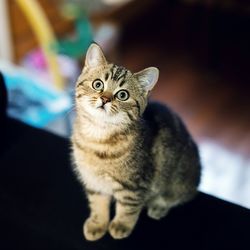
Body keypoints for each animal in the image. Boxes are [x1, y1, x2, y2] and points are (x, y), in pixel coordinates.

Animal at [71, 44, 201, 241]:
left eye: (122, 95)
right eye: (98, 84)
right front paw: (97, 223)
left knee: (177, 197)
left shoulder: (134, 186)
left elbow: (128, 208)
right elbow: (97, 202)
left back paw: (158, 207)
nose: (105, 99)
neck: (98, 136)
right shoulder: (93, 180)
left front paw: (121, 225)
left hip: (181, 179)